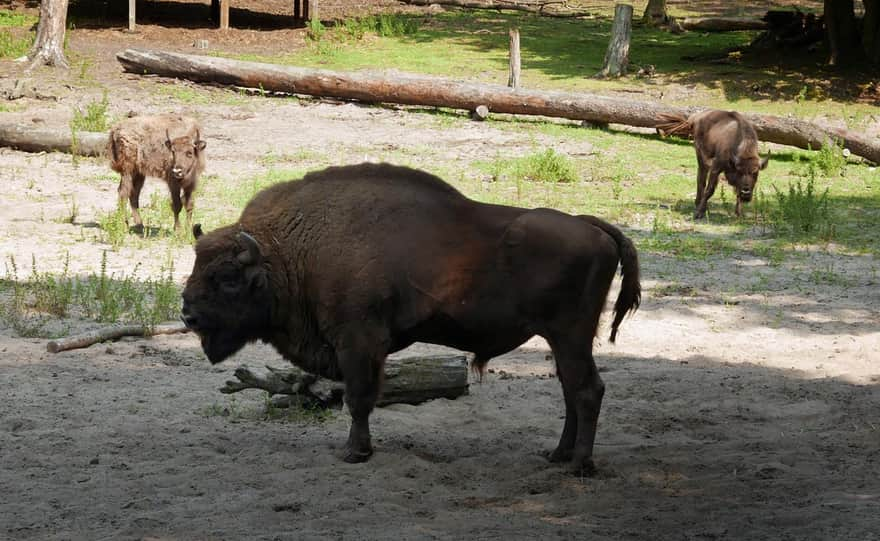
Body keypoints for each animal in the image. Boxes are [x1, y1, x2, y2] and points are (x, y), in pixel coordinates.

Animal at [182, 161, 644, 472]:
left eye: (227, 278)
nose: (187, 315)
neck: (289, 251)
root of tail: (595, 228)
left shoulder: (359, 342)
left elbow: (359, 398)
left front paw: (354, 452)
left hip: (570, 335)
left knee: (587, 390)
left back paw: (579, 464)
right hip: (561, 339)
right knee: (571, 389)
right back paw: (557, 454)